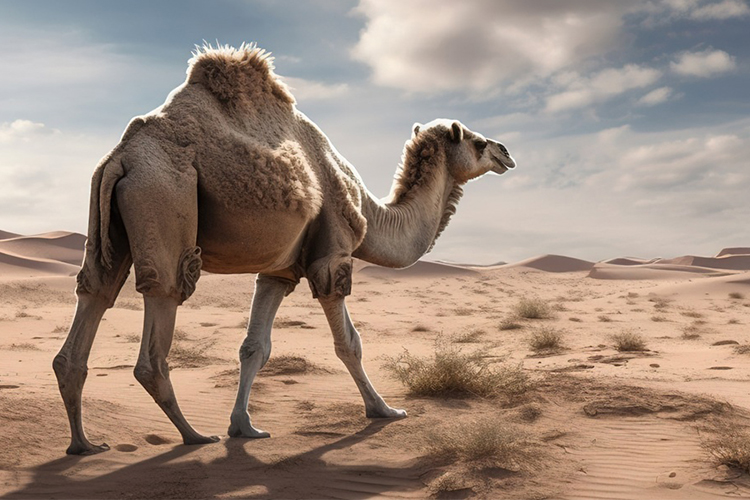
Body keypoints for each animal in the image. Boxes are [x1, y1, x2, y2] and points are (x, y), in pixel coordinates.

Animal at [53, 43, 516, 455]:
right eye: (476, 142)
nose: (506, 151)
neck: (371, 212)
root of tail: (123, 156)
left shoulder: (279, 270)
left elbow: (255, 347)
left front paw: (244, 426)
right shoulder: (332, 255)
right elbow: (349, 343)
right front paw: (383, 410)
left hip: (110, 223)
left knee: (95, 292)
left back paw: (84, 444)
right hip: (164, 197)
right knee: (162, 302)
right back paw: (193, 435)